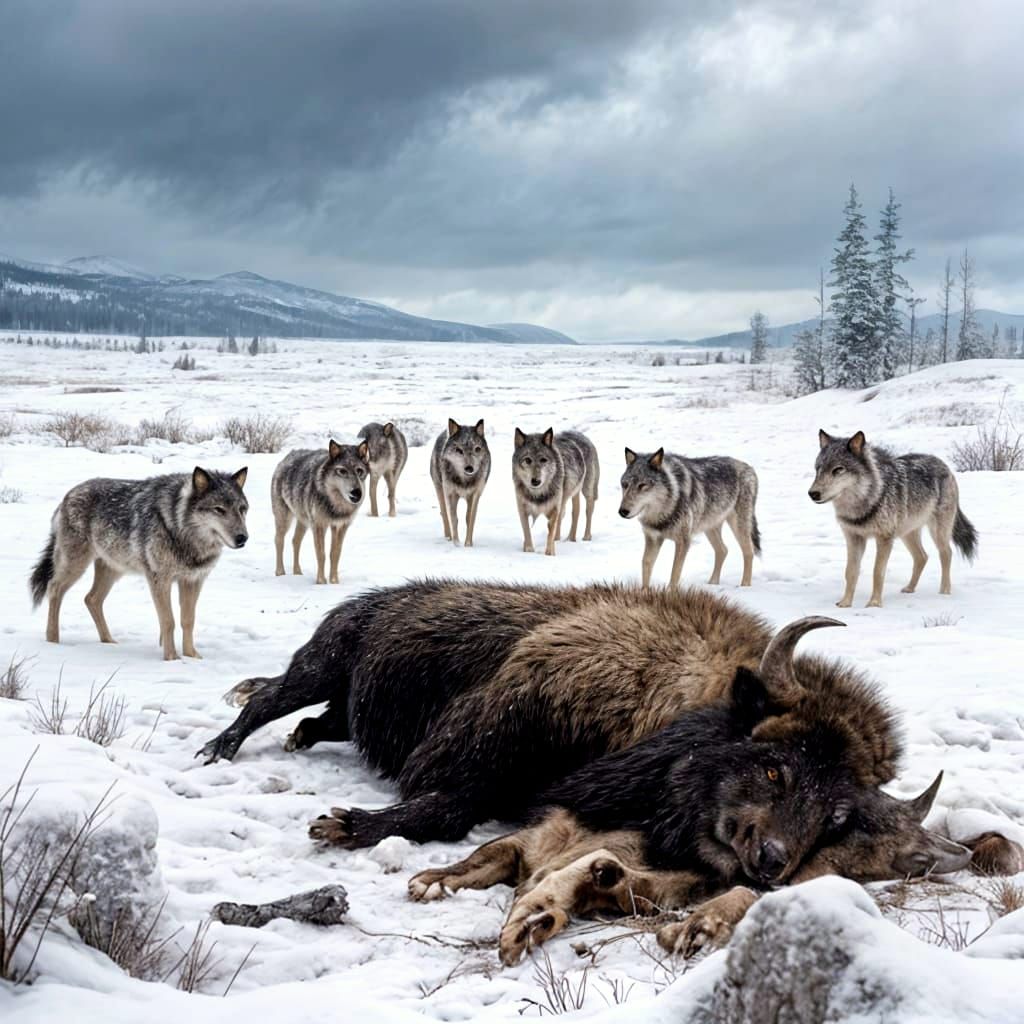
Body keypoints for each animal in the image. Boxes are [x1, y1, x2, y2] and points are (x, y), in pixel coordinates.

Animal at [30, 466, 248, 660]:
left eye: (242, 510)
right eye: (219, 509)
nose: (242, 538)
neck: (182, 532)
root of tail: (67, 495)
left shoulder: (193, 580)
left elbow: (188, 620)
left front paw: (192, 656)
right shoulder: (159, 579)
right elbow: (168, 621)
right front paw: (172, 658)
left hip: (113, 570)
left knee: (91, 599)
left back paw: (109, 642)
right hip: (76, 565)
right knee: (54, 588)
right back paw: (53, 641)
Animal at [271, 439, 369, 585]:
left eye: (359, 471)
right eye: (342, 471)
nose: (357, 493)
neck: (336, 506)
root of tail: (287, 456)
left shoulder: (341, 526)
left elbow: (335, 554)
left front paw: (334, 582)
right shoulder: (319, 525)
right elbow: (321, 554)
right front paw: (321, 582)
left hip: (304, 522)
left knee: (295, 541)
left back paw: (297, 572)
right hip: (285, 519)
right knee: (279, 540)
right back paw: (280, 573)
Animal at [619, 448, 761, 588]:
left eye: (642, 485)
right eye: (625, 485)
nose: (622, 512)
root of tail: (749, 468)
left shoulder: (683, 541)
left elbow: (674, 574)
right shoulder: (653, 539)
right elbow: (645, 565)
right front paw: (645, 592)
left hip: (738, 527)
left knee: (749, 551)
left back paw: (744, 586)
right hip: (710, 528)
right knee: (723, 550)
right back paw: (712, 584)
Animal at [810, 430, 978, 608]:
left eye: (838, 470)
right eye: (818, 469)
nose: (812, 494)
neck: (865, 504)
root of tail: (942, 463)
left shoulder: (884, 539)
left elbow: (877, 572)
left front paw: (874, 603)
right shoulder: (853, 538)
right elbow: (850, 572)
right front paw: (845, 603)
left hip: (937, 532)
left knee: (946, 553)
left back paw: (944, 592)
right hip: (907, 534)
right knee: (922, 557)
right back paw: (910, 588)